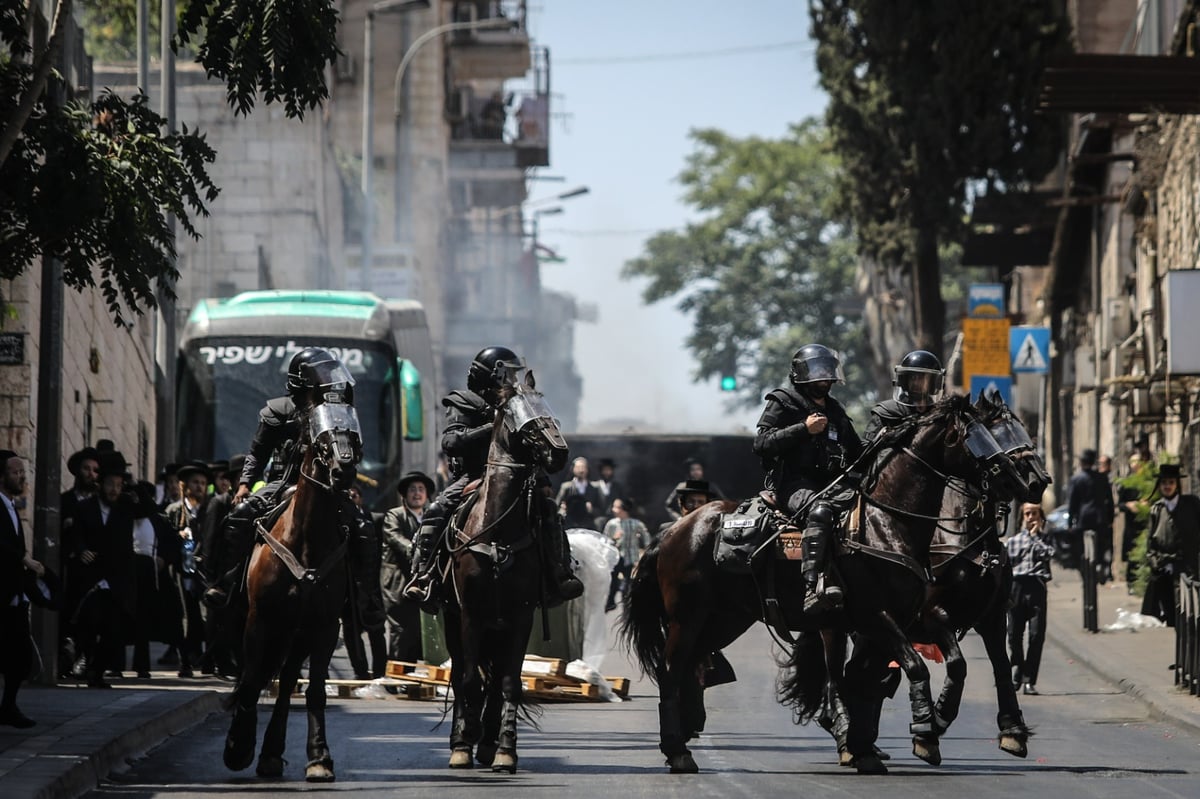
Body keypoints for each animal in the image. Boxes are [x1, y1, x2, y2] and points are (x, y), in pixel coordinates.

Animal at [222, 395, 360, 777]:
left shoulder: (324, 627)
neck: (306, 540)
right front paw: (237, 746)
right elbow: (251, 679)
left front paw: (319, 757)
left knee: (285, 683)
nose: (344, 470)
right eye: (319, 435)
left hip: (297, 633)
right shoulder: (260, 619)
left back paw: (271, 753)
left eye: (353, 430)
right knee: (262, 676)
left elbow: (314, 690)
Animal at [444, 369, 568, 772]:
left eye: (546, 405)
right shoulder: (469, 614)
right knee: (461, 674)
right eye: (517, 411)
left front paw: (504, 749)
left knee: (496, 679)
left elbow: (511, 682)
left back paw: (486, 742)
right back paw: (463, 738)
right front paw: (463, 742)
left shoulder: (520, 616)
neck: (496, 531)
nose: (559, 452)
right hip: (453, 618)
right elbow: (469, 679)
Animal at [624, 391, 1027, 772]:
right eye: (977, 437)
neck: (887, 523)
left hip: (726, 619)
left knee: (695, 664)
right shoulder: (879, 616)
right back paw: (678, 750)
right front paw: (924, 729)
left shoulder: (904, 622)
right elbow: (912, 667)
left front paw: (867, 746)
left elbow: (875, 678)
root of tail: (676, 529)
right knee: (671, 670)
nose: (1018, 481)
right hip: (688, 616)